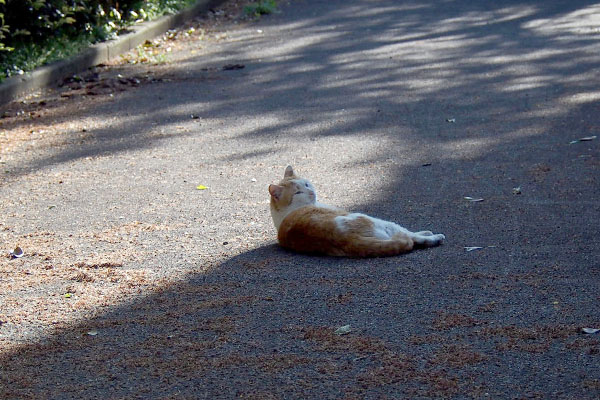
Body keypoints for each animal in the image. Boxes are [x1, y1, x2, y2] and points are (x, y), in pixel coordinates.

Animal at [268, 165, 446, 256]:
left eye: (306, 184)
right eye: (297, 193)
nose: (311, 192)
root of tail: (347, 240)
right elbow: (409, 233)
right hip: (374, 220)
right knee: (410, 236)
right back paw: (434, 237)